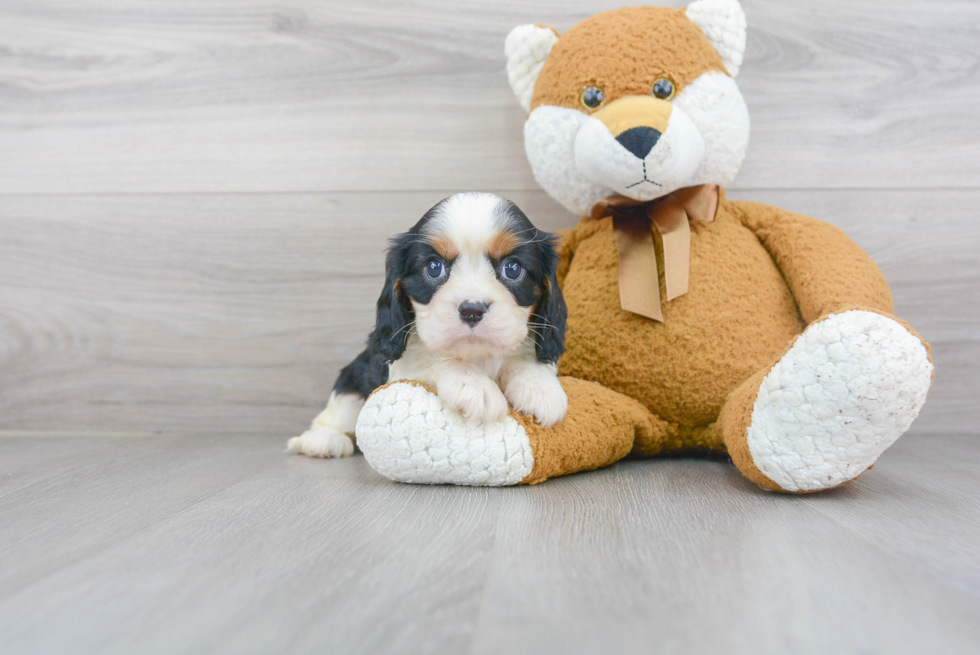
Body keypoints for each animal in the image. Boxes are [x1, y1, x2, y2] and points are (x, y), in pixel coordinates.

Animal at [288, 192, 572, 458]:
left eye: (512, 269)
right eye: (434, 268)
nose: (472, 310)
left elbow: (526, 356)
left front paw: (539, 387)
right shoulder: (400, 366)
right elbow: (433, 358)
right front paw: (474, 387)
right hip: (352, 380)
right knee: (334, 414)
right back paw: (323, 440)